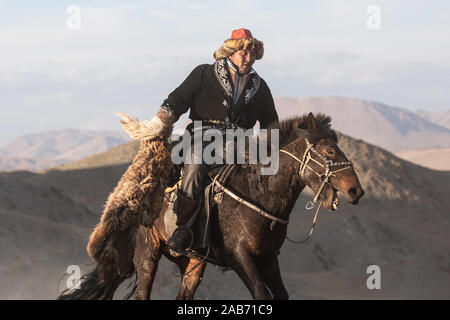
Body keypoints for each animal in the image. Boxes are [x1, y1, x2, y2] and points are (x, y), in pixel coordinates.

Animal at [58, 113, 364, 300]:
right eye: (329, 150)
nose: (356, 190)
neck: (257, 193)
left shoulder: (268, 257)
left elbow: (280, 295)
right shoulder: (238, 255)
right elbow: (261, 293)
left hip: (193, 261)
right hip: (147, 254)